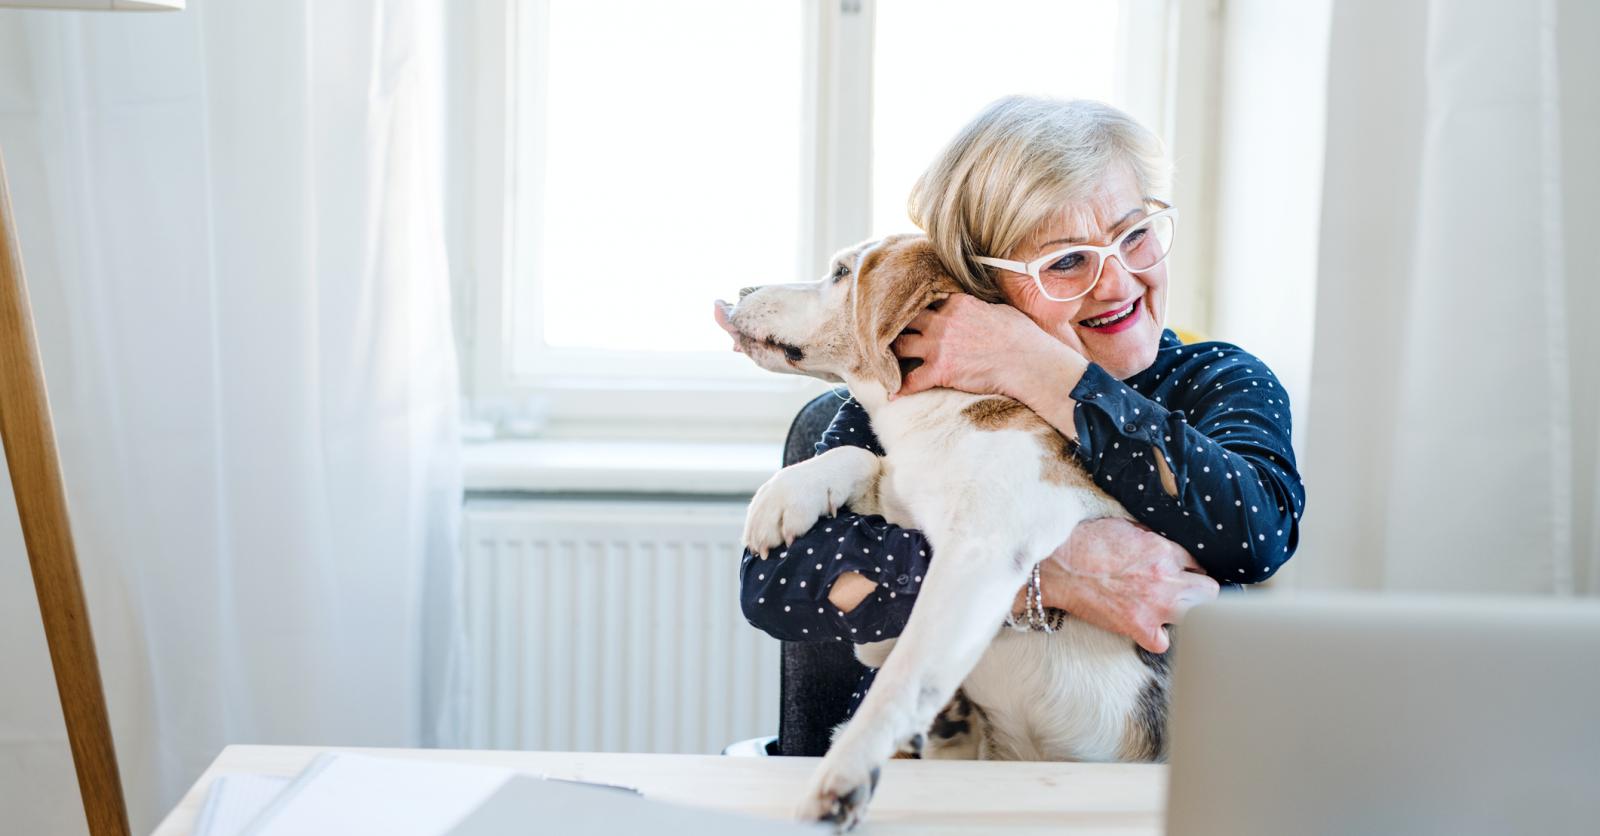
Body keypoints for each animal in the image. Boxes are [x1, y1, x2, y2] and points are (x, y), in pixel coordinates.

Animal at [720, 233, 1171, 826]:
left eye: (840, 273)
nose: (741, 291)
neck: (937, 415)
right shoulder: (909, 501)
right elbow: (858, 457)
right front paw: (785, 494)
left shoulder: (978, 558)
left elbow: (901, 679)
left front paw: (844, 776)